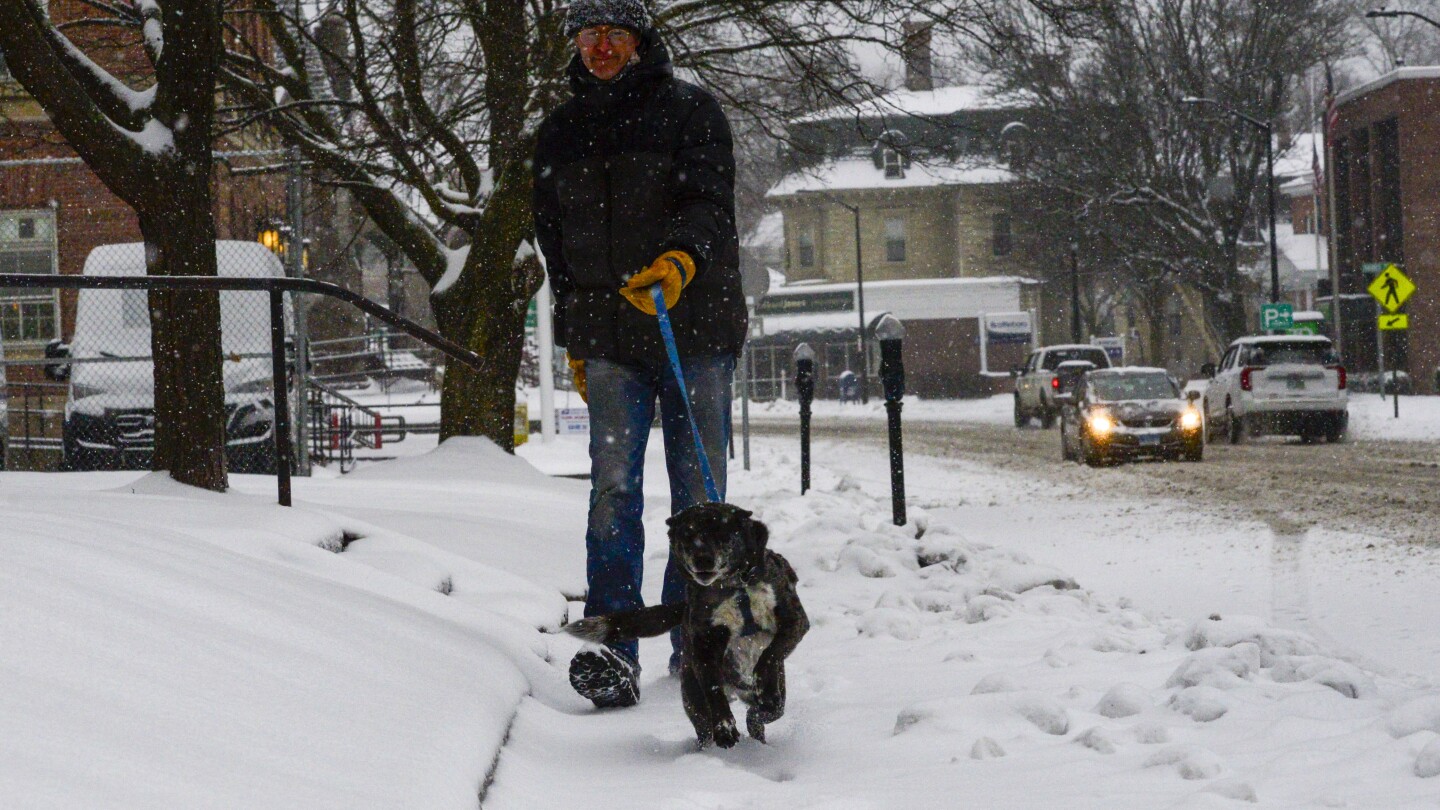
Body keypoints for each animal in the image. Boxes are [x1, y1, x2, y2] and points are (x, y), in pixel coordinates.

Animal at [564, 501, 812, 749]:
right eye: (687, 535)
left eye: (722, 533)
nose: (703, 559)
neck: (733, 585)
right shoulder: (705, 644)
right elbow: (713, 690)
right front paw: (725, 727)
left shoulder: (794, 621)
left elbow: (769, 655)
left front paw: (763, 687)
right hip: (694, 697)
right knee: (708, 723)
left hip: (772, 693)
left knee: (763, 713)